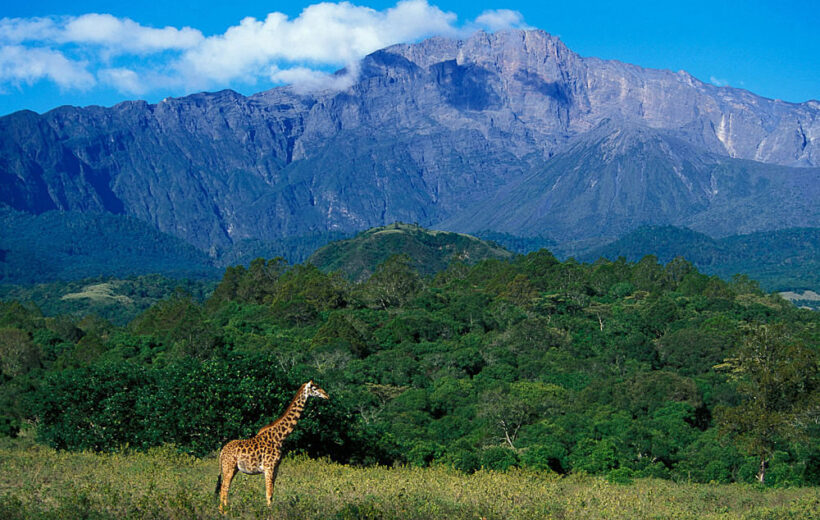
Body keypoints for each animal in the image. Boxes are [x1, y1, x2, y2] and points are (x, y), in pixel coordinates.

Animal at [216, 380, 328, 512]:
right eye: (315, 388)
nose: (326, 395)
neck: (280, 437)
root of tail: (222, 452)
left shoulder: (275, 468)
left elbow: (272, 493)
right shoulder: (269, 467)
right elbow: (268, 493)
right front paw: (269, 512)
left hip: (233, 469)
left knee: (224, 489)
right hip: (228, 467)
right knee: (224, 489)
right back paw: (224, 512)